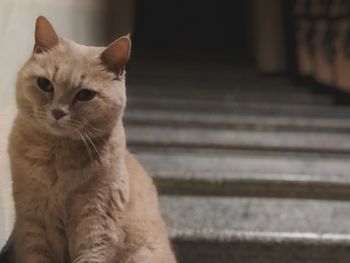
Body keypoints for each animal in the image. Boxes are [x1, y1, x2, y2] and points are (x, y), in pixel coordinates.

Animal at [0, 16, 175, 263]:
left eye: (85, 95)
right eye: (45, 84)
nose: (58, 112)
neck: (58, 159)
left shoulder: (97, 220)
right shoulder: (33, 220)